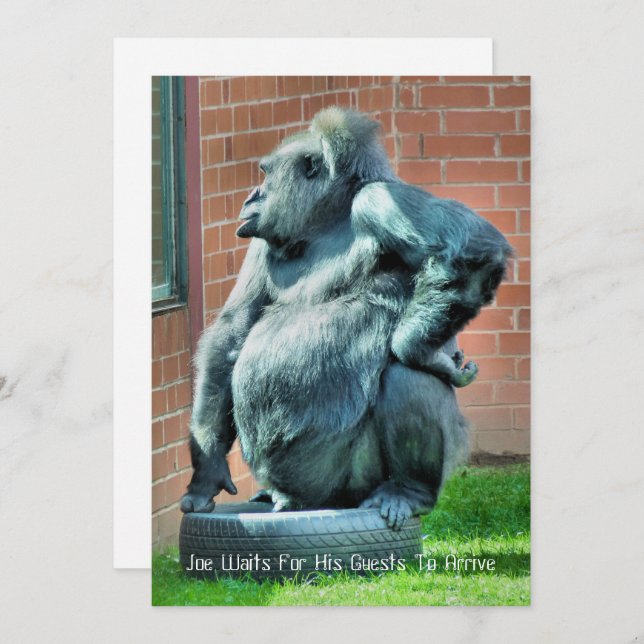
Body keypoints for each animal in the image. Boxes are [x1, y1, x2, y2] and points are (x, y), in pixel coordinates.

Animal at [180, 107, 512, 530]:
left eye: (265, 174)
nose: (252, 195)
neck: (326, 221)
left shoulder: (381, 201)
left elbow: (474, 250)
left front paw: (421, 351)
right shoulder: (261, 239)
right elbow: (233, 331)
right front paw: (206, 468)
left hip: (351, 485)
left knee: (404, 376)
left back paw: (409, 491)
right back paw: (272, 494)